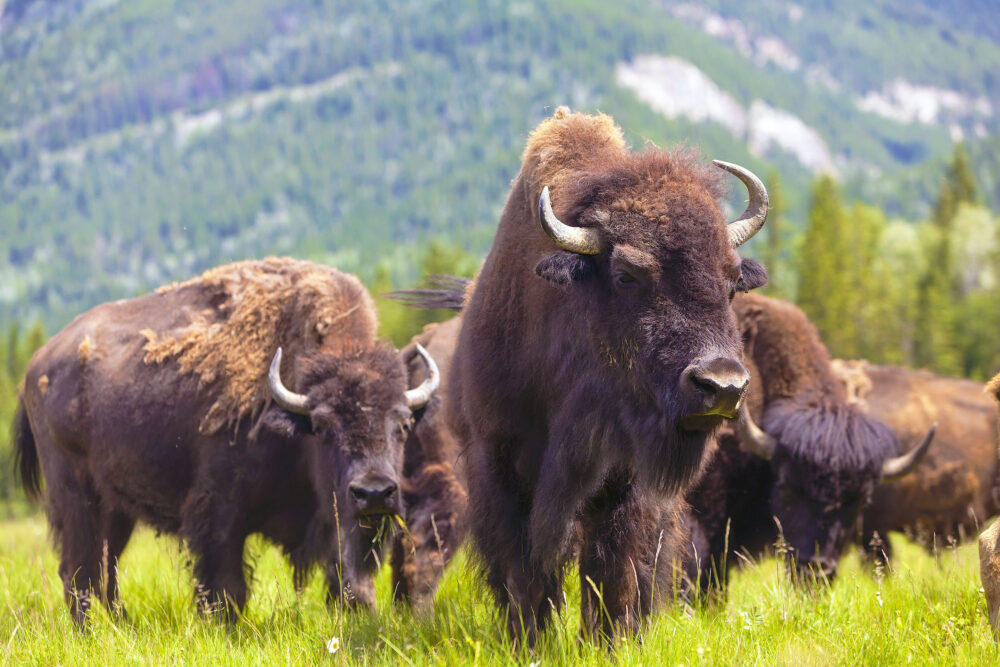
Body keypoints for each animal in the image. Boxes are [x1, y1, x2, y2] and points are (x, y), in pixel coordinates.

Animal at [14, 258, 439, 627]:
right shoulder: (219, 511)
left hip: (116, 509)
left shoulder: (338, 522)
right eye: (322, 426)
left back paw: (124, 627)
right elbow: (227, 587)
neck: (291, 417)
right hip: (75, 497)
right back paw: (90, 633)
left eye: (403, 424)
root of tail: (37, 364)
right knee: (79, 573)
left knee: (106, 571)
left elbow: (350, 581)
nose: (374, 492)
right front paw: (224, 628)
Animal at [446, 108, 770, 642]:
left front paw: (611, 642)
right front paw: (529, 640)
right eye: (625, 276)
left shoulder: (624, 482)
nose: (722, 385)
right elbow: (523, 569)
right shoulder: (499, 464)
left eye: (731, 282)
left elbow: (612, 569)